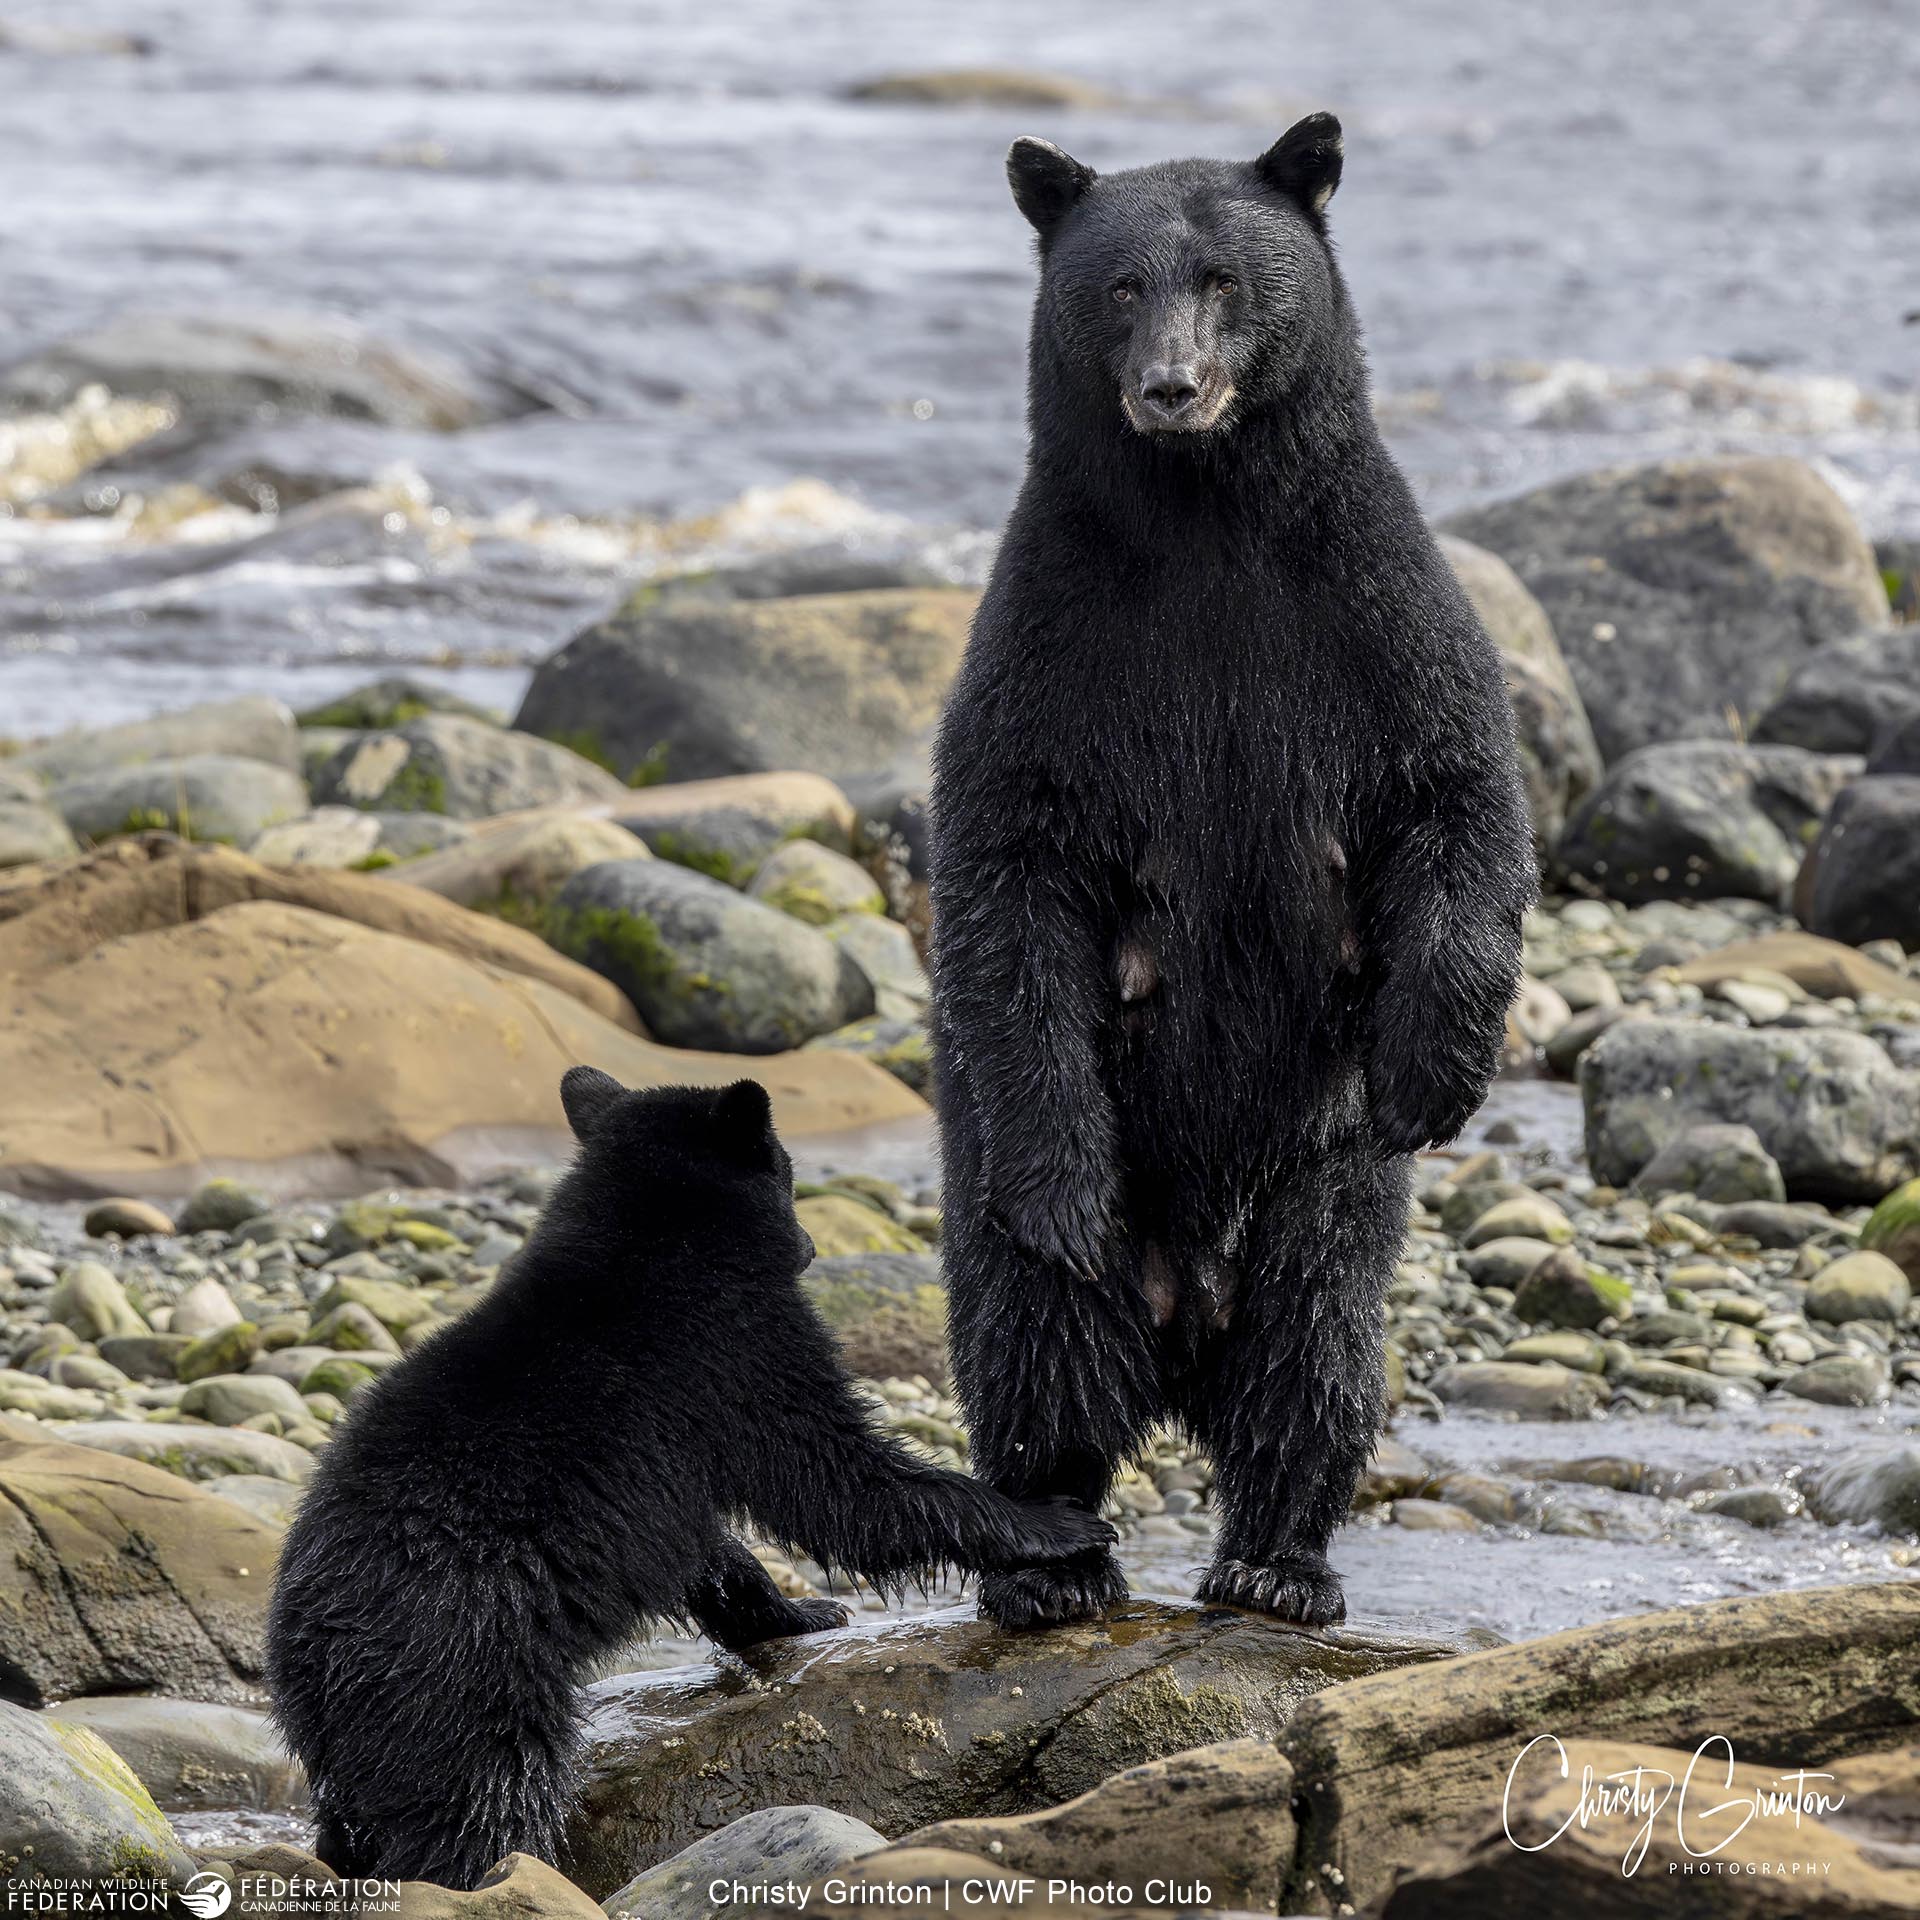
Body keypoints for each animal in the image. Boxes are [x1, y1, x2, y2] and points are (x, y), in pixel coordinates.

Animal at [267, 1070, 1112, 1888]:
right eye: (789, 1172)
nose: (810, 1244)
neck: (651, 1238)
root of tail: (307, 1655)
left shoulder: (663, 1471)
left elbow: (713, 1548)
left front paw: (799, 1612)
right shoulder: (738, 1348)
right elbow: (834, 1479)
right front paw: (1056, 1524)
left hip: (365, 1738)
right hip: (458, 1669)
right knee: (480, 1800)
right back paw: (502, 1872)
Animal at [929, 115, 1535, 1631]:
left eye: (1224, 277)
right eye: (1118, 286)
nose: (1172, 387)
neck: (1206, 522)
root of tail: (1181, 1324)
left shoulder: (1368, 616)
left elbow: (1459, 797)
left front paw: (1437, 1072)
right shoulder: (1060, 646)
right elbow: (1010, 864)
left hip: (1313, 1178)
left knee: (1314, 1352)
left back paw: (1277, 1561)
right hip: (1025, 1211)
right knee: (1036, 1347)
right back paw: (1050, 1562)